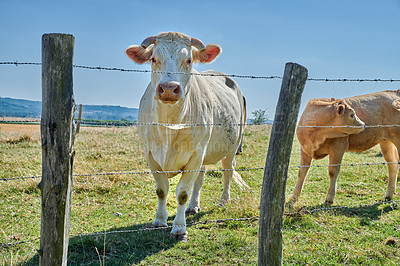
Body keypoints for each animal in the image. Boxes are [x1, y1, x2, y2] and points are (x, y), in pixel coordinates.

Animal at [127, 32, 247, 240]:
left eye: (189, 60)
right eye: (153, 59)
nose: (168, 88)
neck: (169, 125)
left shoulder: (195, 155)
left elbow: (182, 193)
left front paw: (179, 229)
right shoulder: (150, 154)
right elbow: (161, 190)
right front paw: (159, 220)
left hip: (231, 147)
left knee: (227, 173)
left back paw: (223, 201)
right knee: (201, 178)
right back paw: (193, 206)